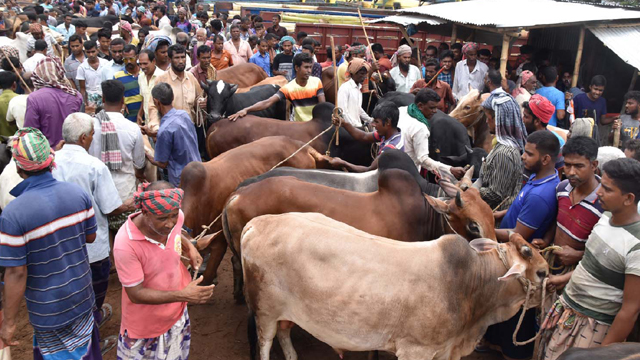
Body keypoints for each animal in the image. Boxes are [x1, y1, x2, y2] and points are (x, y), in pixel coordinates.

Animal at [241, 212, 552, 360]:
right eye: (541, 273)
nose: (552, 285)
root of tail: (256, 223)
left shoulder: (444, 351)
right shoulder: (416, 351)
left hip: (286, 312)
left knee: (284, 333)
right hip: (264, 311)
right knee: (266, 342)